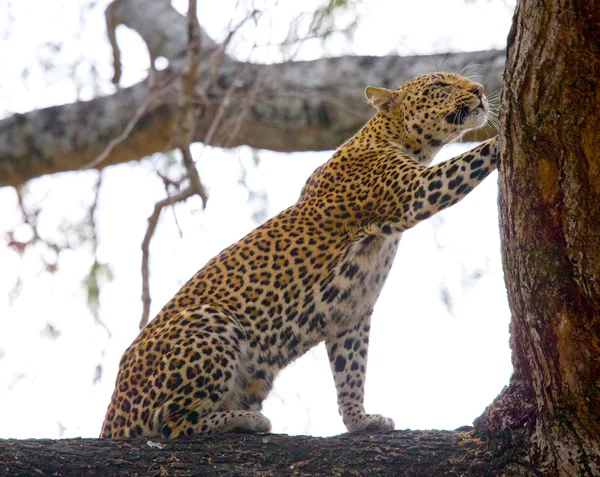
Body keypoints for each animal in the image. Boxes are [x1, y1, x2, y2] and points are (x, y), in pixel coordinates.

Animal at [101, 71, 500, 438]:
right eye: (440, 85)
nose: (480, 90)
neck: (400, 139)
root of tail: (112, 416)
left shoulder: (352, 313)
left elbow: (351, 371)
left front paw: (360, 421)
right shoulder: (416, 191)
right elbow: (469, 160)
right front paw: (503, 138)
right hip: (210, 322)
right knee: (171, 425)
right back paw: (244, 420)